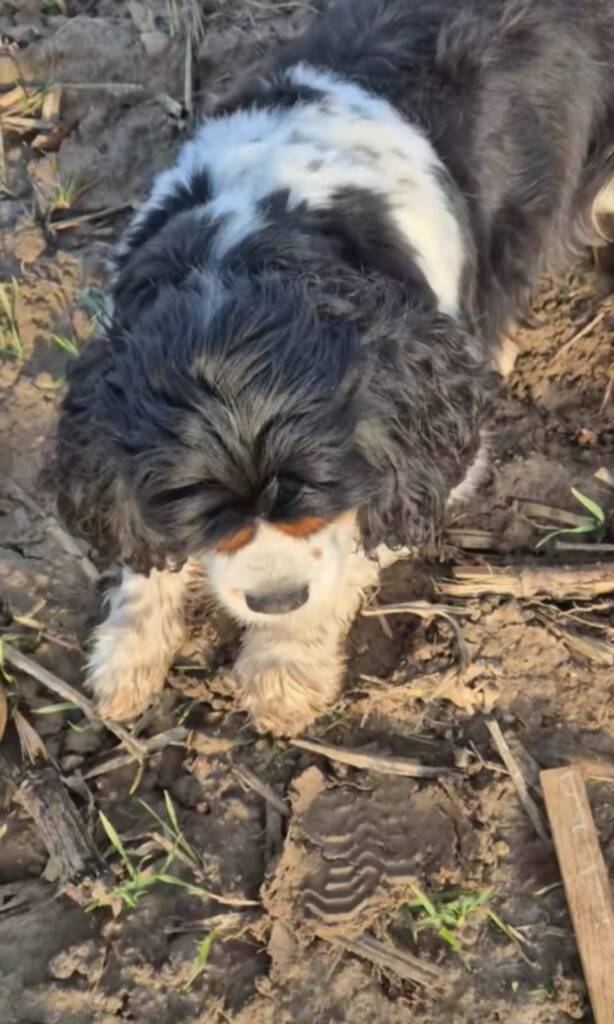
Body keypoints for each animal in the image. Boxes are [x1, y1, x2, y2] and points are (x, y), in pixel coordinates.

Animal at [56, 0, 614, 735]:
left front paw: (283, 669)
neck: (253, 234)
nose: (274, 599)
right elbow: (144, 549)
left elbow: (348, 552)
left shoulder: (436, 452)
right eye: (205, 516)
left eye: (315, 494)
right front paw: (128, 652)